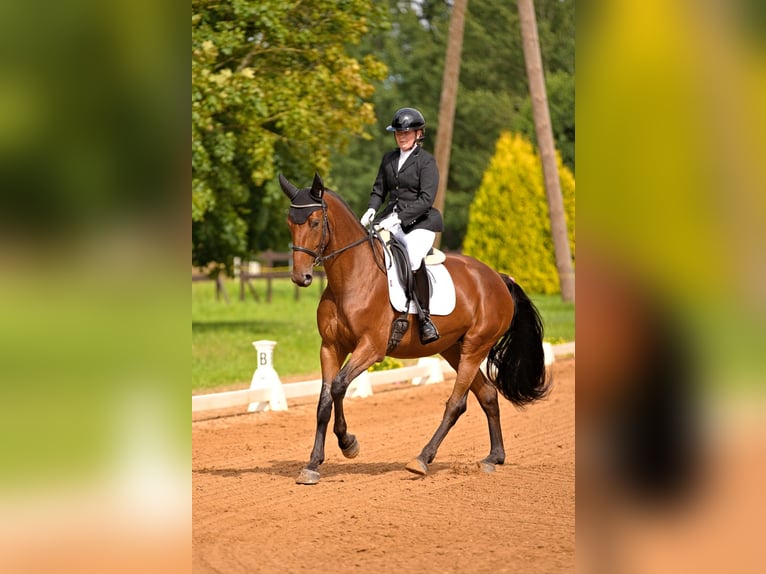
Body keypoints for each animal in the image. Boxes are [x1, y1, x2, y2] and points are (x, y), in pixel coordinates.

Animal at [279, 173, 550, 485]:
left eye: (314, 222)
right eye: (290, 222)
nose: (300, 277)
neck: (352, 277)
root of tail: (498, 277)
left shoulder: (371, 348)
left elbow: (338, 386)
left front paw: (348, 444)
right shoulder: (331, 347)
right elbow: (324, 400)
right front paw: (312, 464)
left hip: (475, 346)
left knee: (456, 403)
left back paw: (421, 459)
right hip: (453, 348)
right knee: (488, 394)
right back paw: (493, 457)